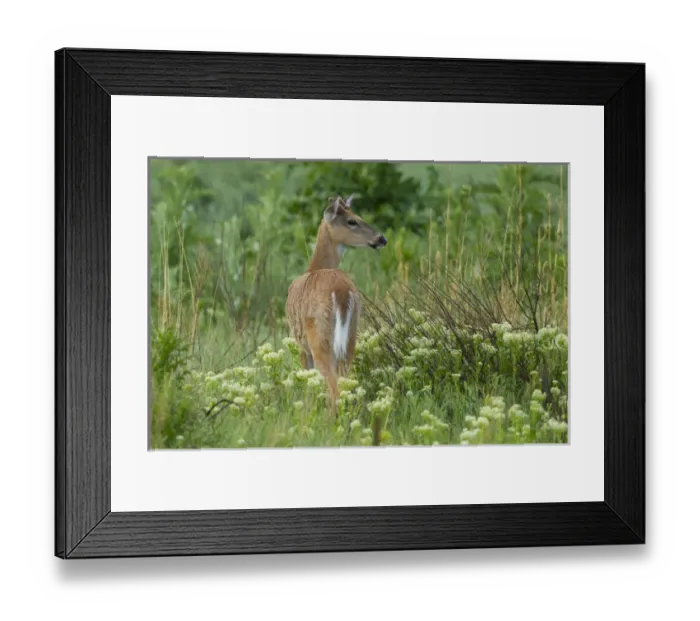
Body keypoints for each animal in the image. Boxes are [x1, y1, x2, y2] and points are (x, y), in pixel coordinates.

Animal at [285, 194, 387, 414]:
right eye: (352, 221)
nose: (381, 239)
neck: (313, 268)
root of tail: (341, 291)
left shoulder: (302, 347)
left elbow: (308, 387)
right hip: (351, 336)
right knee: (344, 384)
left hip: (320, 337)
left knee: (334, 389)